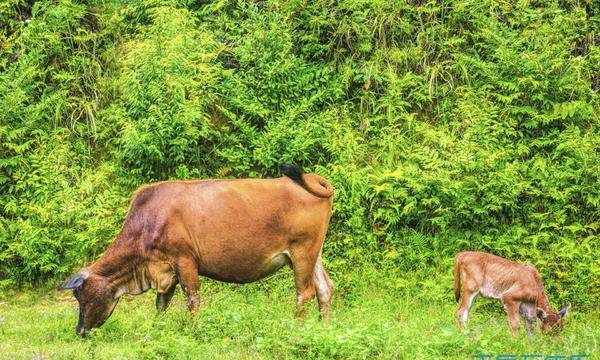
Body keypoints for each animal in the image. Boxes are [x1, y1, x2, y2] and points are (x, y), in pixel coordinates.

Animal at [59, 165, 338, 336]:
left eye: (80, 296)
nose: (79, 331)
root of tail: (312, 178)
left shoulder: (184, 260)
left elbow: (192, 300)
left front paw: (194, 330)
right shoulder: (166, 270)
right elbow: (161, 304)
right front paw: (157, 330)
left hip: (302, 251)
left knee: (305, 292)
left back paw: (297, 328)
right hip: (313, 253)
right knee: (325, 288)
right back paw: (324, 328)